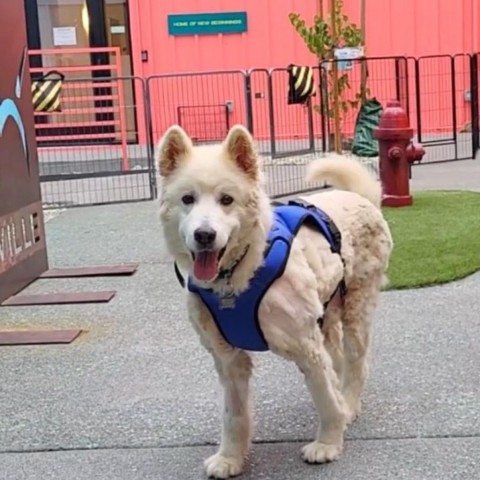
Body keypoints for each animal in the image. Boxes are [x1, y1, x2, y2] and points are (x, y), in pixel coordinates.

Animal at [158, 125, 394, 478]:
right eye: (188, 199)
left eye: (226, 200)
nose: (204, 235)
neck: (237, 277)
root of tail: (361, 198)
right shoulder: (228, 359)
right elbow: (234, 416)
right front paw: (230, 458)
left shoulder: (305, 345)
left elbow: (325, 399)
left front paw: (327, 444)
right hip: (327, 315)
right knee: (338, 360)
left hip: (356, 310)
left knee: (355, 364)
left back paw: (349, 405)